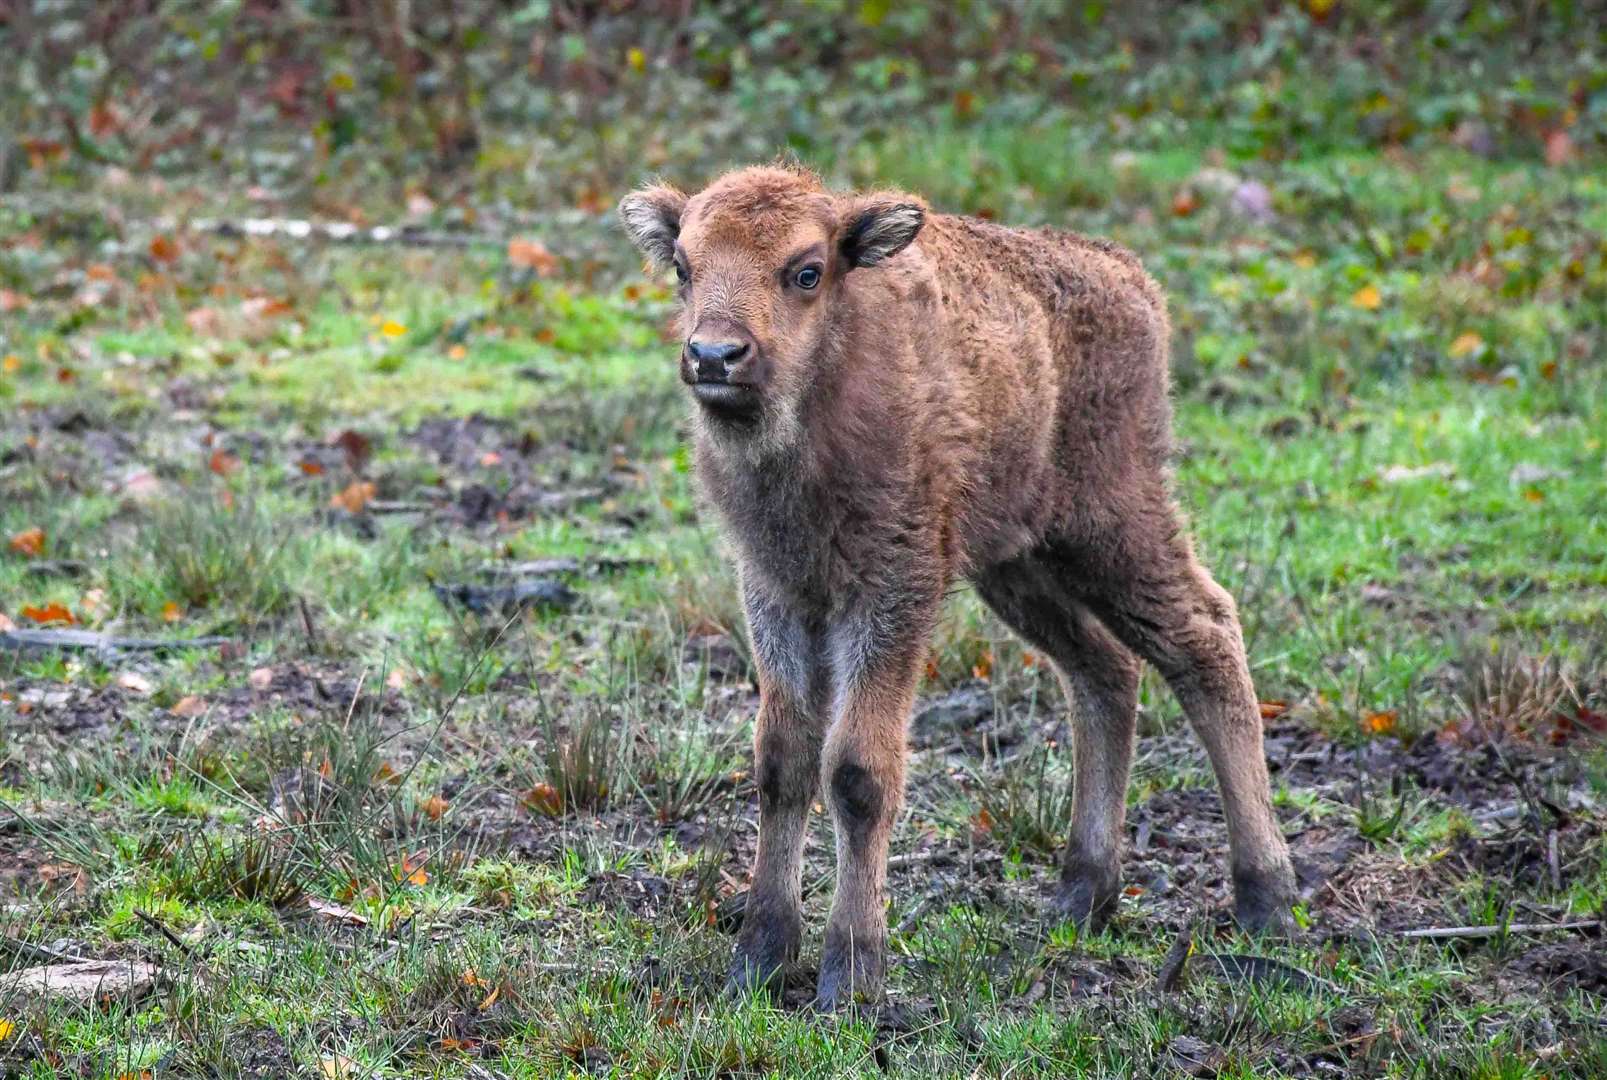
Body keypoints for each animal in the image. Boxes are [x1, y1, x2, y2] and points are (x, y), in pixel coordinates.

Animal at [620, 164, 1298, 1009]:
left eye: (806, 270)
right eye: (682, 266)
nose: (714, 354)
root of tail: (1128, 278)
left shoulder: (890, 591)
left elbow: (857, 771)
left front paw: (849, 977)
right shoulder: (776, 590)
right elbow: (781, 760)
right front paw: (758, 959)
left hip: (1114, 527)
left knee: (1205, 640)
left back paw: (1267, 900)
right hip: (1017, 564)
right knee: (1104, 672)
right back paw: (1082, 896)